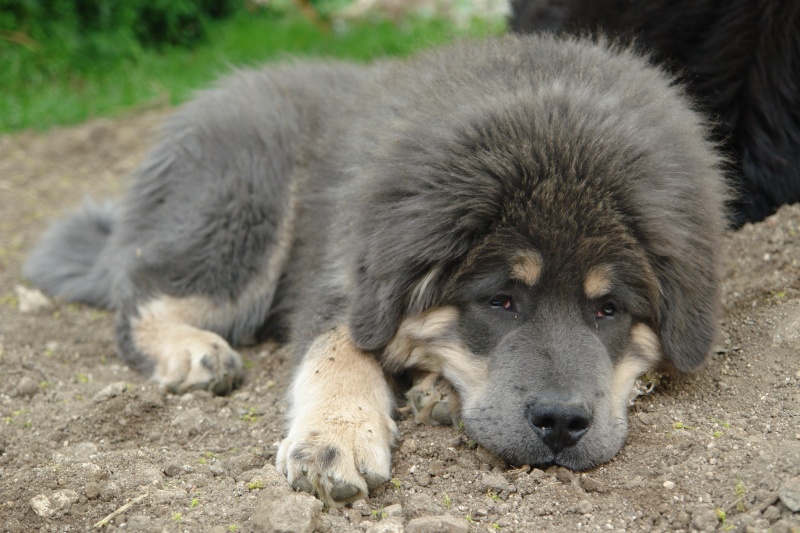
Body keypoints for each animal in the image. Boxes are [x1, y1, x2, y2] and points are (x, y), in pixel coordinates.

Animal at [25, 35, 728, 504]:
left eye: (608, 309)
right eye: (500, 300)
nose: (561, 425)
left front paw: (434, 391)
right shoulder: (345, 280)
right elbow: (338, 350)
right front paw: (335, 436)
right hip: (242, 207)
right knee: (143, 296)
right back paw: (193, 352)